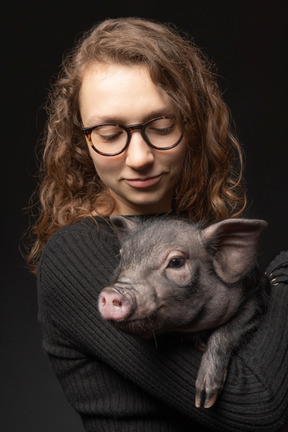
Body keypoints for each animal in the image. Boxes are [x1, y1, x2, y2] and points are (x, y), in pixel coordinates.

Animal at [98, 216, 270, 408]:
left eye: (176, 262)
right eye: (121, 256)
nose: (111, 293)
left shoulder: (257, 301)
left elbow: (228, 331)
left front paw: (204, 400)